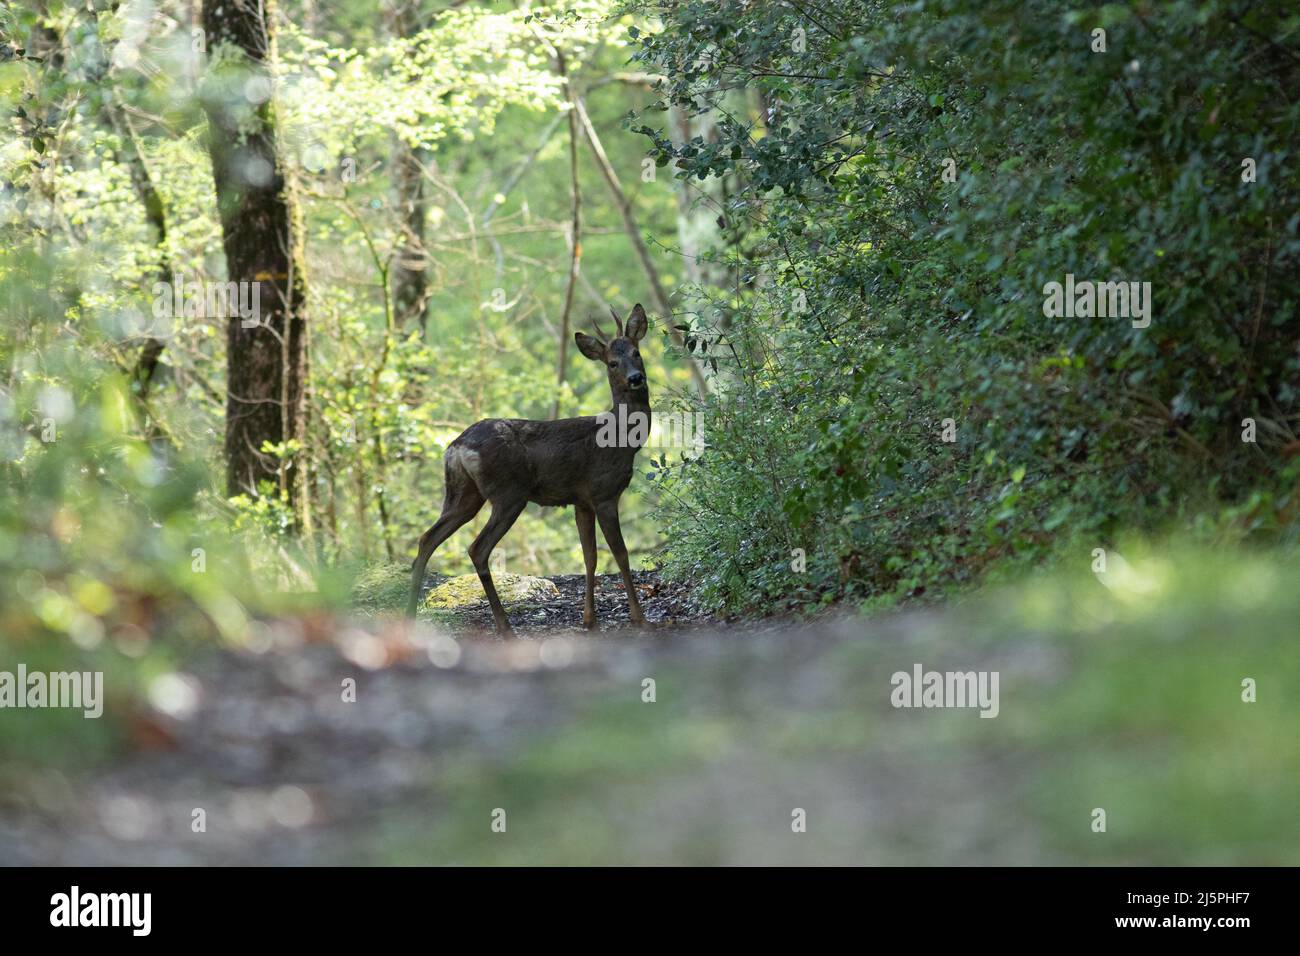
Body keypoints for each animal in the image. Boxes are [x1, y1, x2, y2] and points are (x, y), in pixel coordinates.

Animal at [405, 303, 650, 632]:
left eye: (636, 352)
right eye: (612, 363)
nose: (635, 378)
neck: (622, 437)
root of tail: (455, 447)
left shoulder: (581, 500)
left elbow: (590, 556)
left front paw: (589, 619)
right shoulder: (604, 492)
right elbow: (620, 554)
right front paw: (639, 617)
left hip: (463, 494)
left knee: (427, 538)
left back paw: (408, 616)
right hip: (509, 493)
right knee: (477, 548)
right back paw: (505, 626)